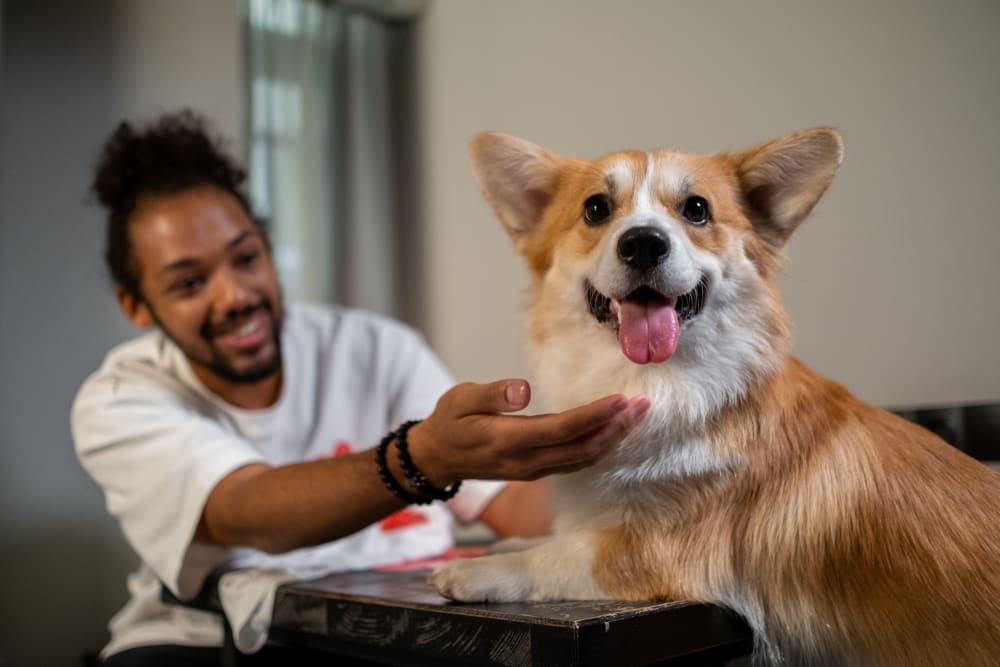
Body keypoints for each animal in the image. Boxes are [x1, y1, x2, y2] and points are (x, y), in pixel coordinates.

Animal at [430, 128, 1000, 664]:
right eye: (595, 208)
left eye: (696, 209)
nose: (643, 243)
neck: (654, 381)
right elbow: (561, 535)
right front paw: (512, 541)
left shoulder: (656, 554)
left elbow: (560, 555)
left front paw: (482, 570)